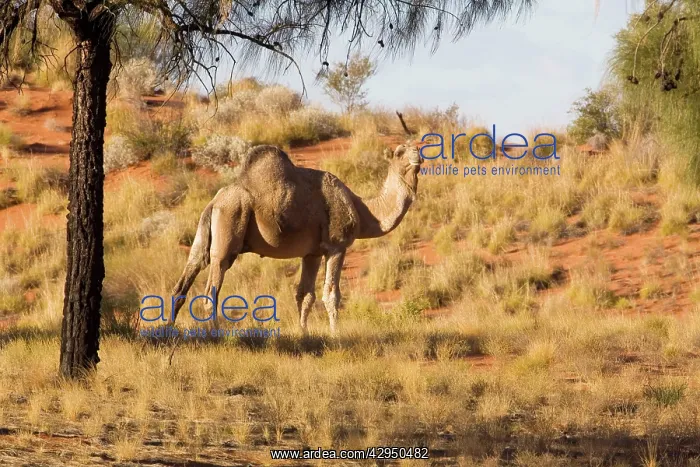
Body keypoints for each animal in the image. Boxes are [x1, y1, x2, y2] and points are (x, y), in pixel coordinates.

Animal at [170, 141, 422, 334]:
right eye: (399, 152)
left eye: (416, 146)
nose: (417, 156)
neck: (364, 211)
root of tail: (214, 202)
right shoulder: (337, 246)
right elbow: (331, 294)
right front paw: (335, 334)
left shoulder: (312, 253)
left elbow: (304, 294)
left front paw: (304, 333)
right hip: (229, 224)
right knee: (210, 290)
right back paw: (216, 333)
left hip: (205, 233)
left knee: (185, 278)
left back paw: (169, 329)